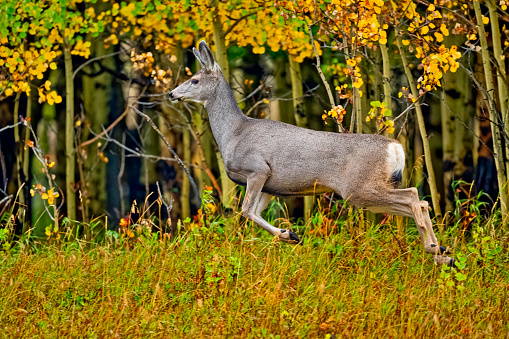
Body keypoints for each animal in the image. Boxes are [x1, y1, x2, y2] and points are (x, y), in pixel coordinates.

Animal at [169, 41, 454, 266]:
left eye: (195, 80)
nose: (171, 93)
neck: (233, 133)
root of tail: (395, 147)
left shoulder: (257, 169)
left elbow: (246, 211)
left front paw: (290, 235)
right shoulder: (271, 185)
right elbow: (255, 213)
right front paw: (289, 235)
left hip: (357, 187)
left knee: (415, 197)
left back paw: (433, 248)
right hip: (369, 189)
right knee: (415, 201)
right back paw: (442, 253)